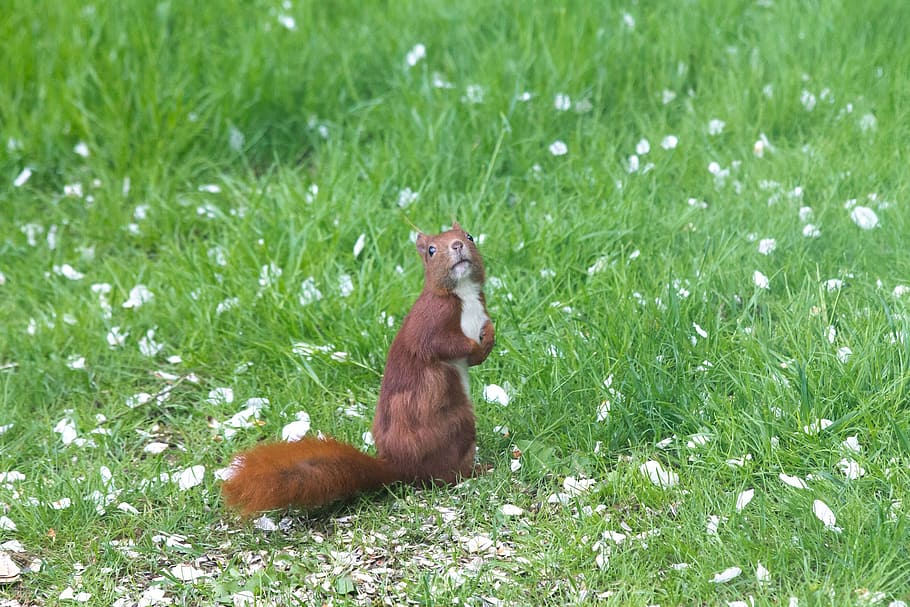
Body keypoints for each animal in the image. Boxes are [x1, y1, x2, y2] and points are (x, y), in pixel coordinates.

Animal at [221, 222, 495, 515]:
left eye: (469, 236)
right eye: (432, 250)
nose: (457, 245)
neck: (463, 293)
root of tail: (401, 468)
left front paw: (490, 335)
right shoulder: (431, 324)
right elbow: (446, 345)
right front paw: (476, 345)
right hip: (458, 423)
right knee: (445, 475)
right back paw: (477, 470)